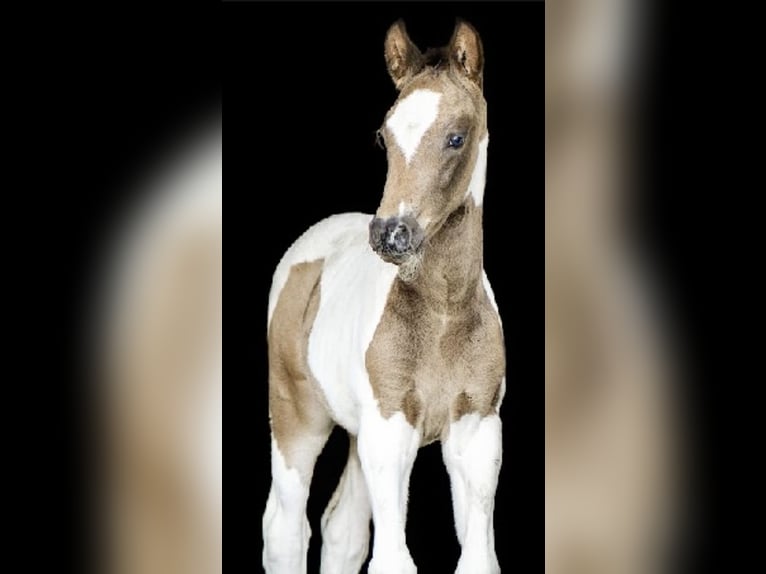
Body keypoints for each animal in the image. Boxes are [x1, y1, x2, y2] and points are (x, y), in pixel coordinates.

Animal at [262, 20, 505, 574]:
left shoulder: (476, 432)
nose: (392, 234)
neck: (443, 313)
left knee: (342, 529)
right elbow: (393, 559)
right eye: (383, 136)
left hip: (357, 432)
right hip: (297, 416)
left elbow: (478, 558)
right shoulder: (391, 432)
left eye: (456, 137)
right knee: (286, 527)